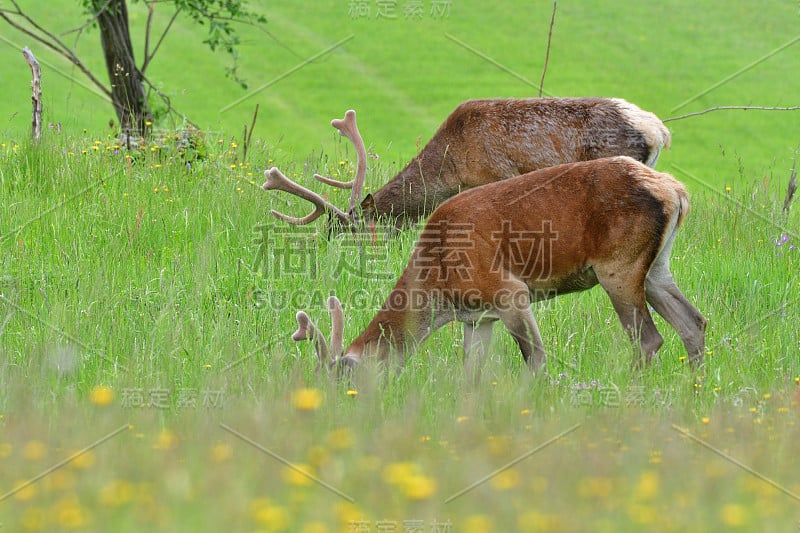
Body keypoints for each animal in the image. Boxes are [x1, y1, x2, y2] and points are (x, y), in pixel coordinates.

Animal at [274, 155, 708, 374]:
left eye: (346, 379)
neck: (440, 286)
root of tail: (675, 189)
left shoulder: (508, 292)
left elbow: (536, 359)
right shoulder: (478, 317)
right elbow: (471, 372)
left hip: (618, 265)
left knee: (648, 339)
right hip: (656, 266)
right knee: (694, 323)